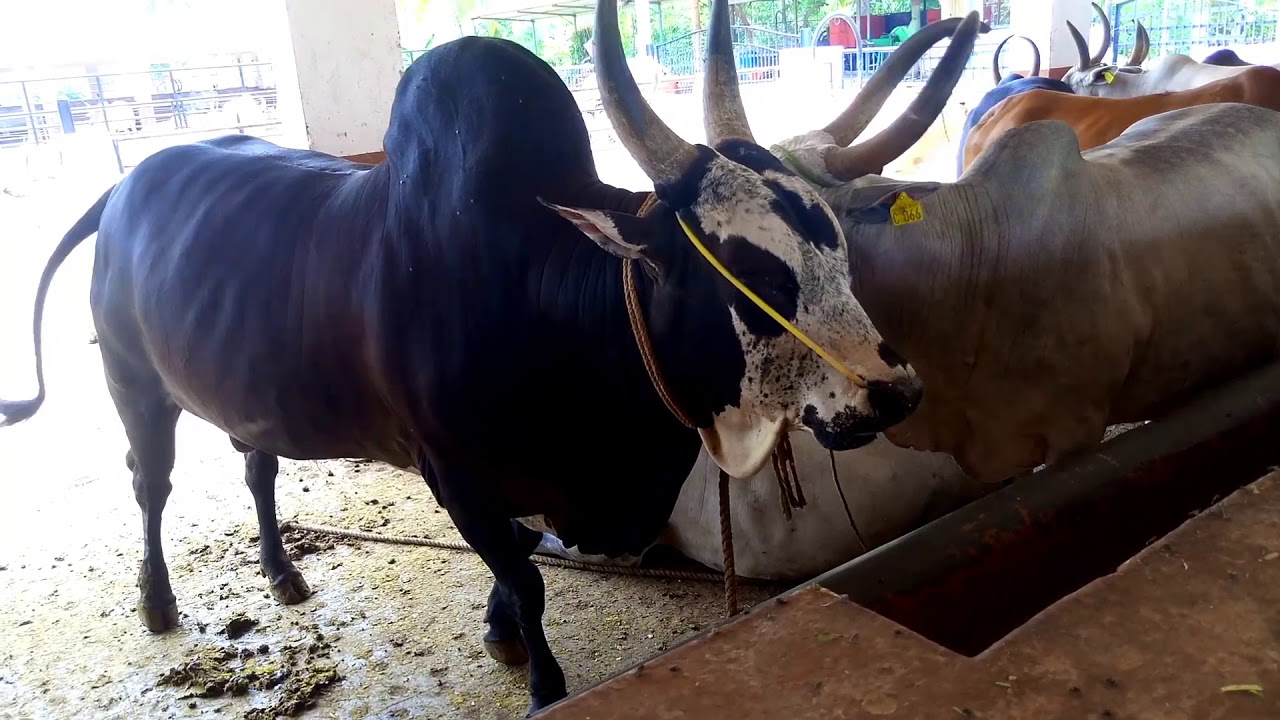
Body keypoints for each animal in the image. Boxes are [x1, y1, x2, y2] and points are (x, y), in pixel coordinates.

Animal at [0, 2, 985, 715]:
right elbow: (524, 573)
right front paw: (542, 679)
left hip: (250, 395)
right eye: (748, 270)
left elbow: (515, 565)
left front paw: (499, 633)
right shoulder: (456, 478)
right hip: (135, 386)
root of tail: (126, 185)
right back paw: (158, 601)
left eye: (837, 247)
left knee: (257, 468)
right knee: (152, 484)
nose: (894, 391)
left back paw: (281, 572)